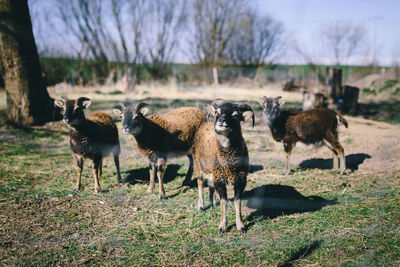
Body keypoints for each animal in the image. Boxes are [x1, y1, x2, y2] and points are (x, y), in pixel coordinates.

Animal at [193, 99, 255, 234]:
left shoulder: (241, 180)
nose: (222, 120)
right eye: (217, 112)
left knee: (210, 186)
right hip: (198, 166)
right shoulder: (220, 180)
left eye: (236, 115)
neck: (229, 165)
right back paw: (201, 206)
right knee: (200, 183)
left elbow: (237, 201)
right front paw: (222, 227)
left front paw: (241, 226)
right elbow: (224, 201)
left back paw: (213, 203)